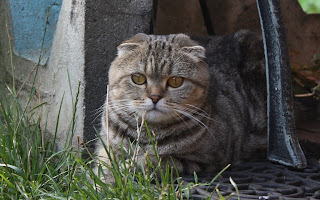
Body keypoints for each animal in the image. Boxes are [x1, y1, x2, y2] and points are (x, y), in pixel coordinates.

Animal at [94, 28, 268, 180]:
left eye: (175, 81)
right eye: (138, 78)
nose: (155, 97)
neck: (147, 133)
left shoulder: (203, 160)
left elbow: (149, 161)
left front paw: (121, 172)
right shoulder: (107, 146)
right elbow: (104, 165)